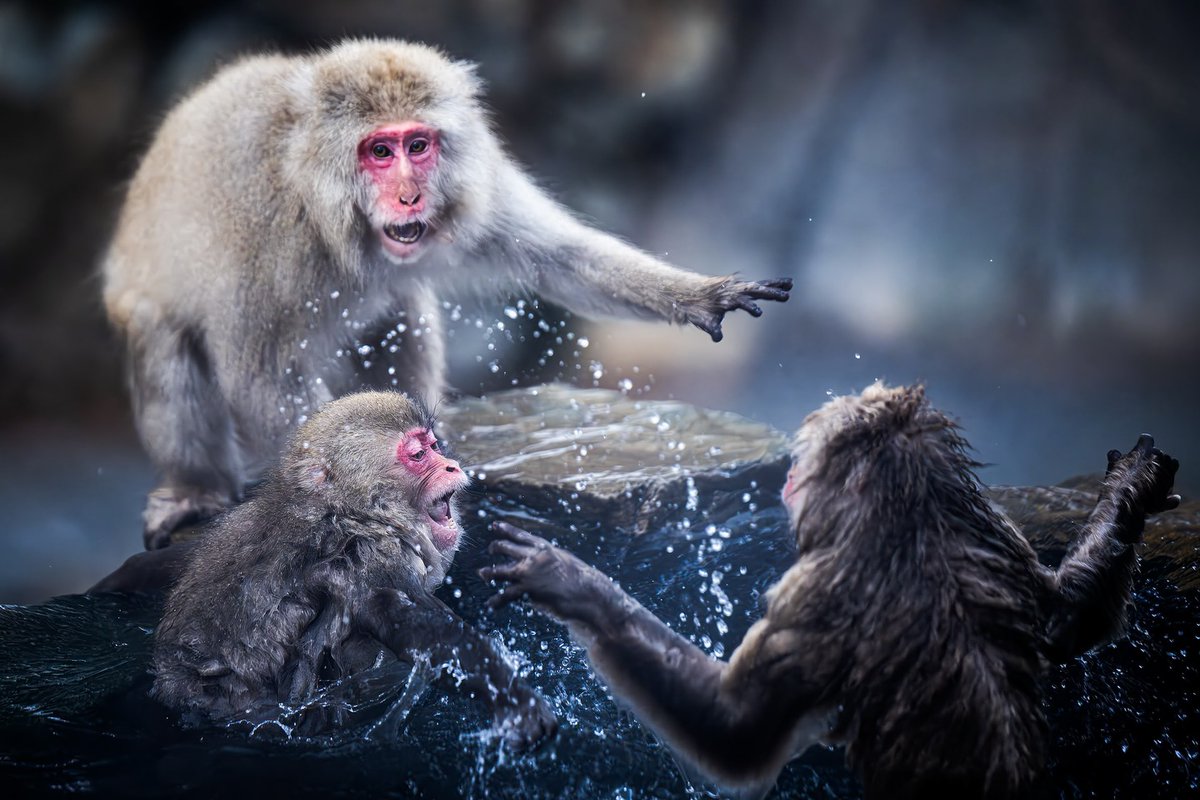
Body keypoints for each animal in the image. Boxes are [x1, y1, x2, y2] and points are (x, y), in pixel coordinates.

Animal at [101, 39, 792, 549]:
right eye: (379, 151)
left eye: (419, 145)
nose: (410, 195)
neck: (324, 204)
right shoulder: (269, 239)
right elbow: (260, 374)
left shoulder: (471, 182)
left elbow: (562, 259)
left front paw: (701, 295)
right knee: (162, 338)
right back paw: (197, 491)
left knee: (402, 312)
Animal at [152, 390, 557, 750]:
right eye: (418, 454)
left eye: (434, 445)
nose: (451, 466)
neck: (356, 513)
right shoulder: (375, 560)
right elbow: (411, 625)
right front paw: (513, 696)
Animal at [480, 383, 1181, 798]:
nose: (788, 479)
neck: (913, 526)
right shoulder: (996, 542)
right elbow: (1066, 620)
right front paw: (1134, 486)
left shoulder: (818, 599)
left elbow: (734, 732)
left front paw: (569, 583)